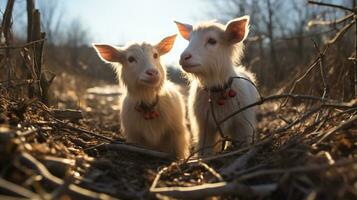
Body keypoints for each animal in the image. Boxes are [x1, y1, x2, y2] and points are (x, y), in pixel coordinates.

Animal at [174, 16, 258, 156]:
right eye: (189, 40)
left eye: (212, 41)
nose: (184, 57)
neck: (217, 90)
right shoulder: (203, 126)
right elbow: (204, 149)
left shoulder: (242, 125)